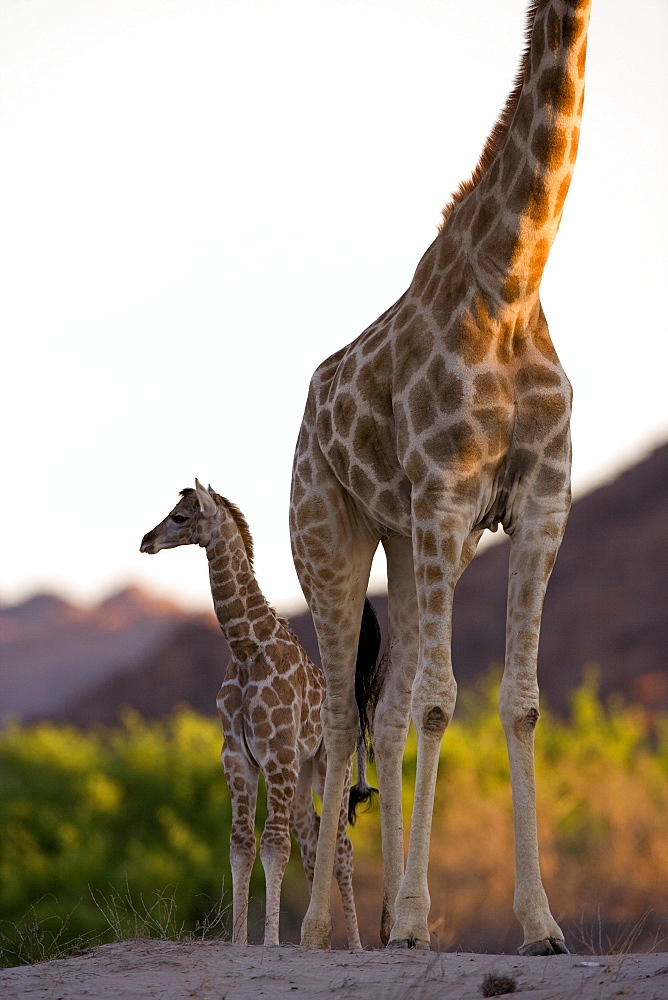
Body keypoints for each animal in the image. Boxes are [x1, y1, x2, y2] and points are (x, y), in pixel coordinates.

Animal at [140, 480, 376, 948]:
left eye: (180, 516)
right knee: (312, 843)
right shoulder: (237, 758)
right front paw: (239, 940)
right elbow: (241, 847)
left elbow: (274, 847)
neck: (247, 646)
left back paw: (356, 946)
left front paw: (269, 941)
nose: (145, 541)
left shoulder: (277, 757)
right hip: (302, 777)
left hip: (328, 769)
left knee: (340, 848)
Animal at [290, 0, 592, 952]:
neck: (513, 281)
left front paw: (540, 925)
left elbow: (517, 702)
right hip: (333, 535)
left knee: (381, 714)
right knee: (343, 714)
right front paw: (421, 920)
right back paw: (323, 929)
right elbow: (438, 701)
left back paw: (388, 920)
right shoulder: (448, 490)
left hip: (412, 541)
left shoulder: (542, 499)